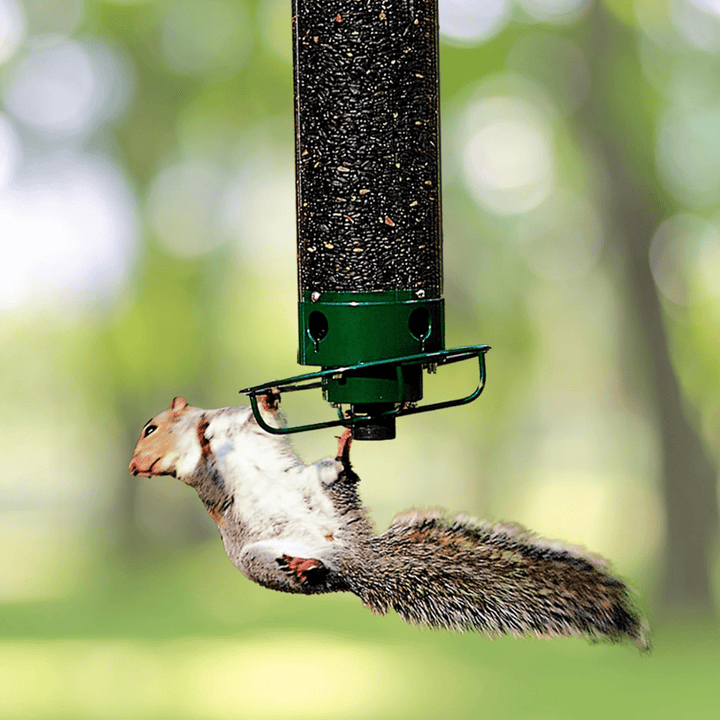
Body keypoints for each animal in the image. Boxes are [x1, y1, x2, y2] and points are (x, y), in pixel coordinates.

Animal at [129, 395, 649, 650]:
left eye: (150, 427)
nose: (136, 466)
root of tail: (351, 559)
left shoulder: (247, 422)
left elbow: (265, 415)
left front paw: (222, 420)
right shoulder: (201, 476)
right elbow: (203, 464)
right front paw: (201, 437)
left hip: (323, 488)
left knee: (340, 477)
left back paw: (342, 451)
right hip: (260, 560)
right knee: (313, 574)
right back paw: (303, 567)